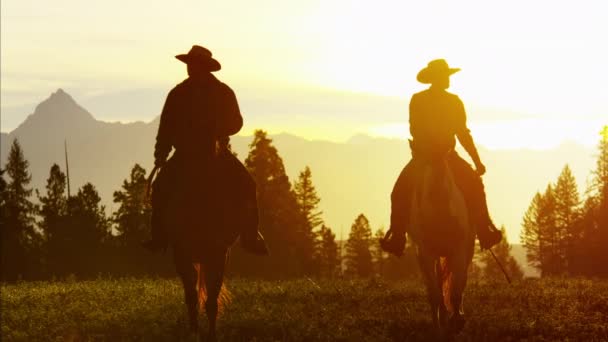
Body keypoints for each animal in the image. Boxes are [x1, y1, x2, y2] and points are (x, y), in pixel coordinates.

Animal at [406, 152, 478, 334]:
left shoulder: (459, 249)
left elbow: (457, 288)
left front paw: (457, 320)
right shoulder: (426, 252)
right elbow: (434, 291)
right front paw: (439, 323)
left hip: (467, 249)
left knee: (459, 281)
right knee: (437, 283)